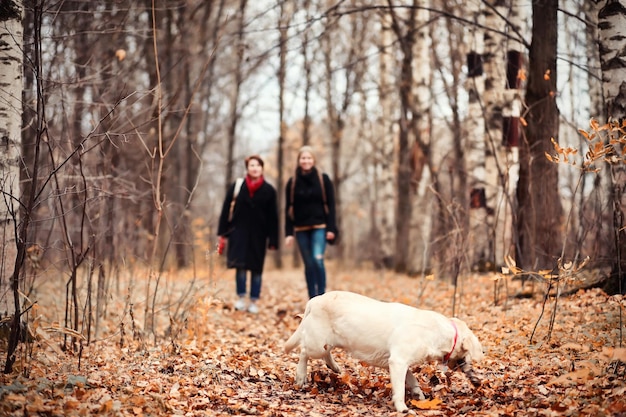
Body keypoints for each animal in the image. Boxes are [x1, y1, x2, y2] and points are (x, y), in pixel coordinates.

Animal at [282, 290, 482, 412]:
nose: (476, 379)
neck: (437, 332)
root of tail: (314, 300)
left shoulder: (397, 362)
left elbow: (412, 379)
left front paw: (419, 396)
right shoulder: (398, 361)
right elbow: (400, 389)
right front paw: (402, 408)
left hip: (326, 342)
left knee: (324, 353)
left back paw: (335, 367)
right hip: (317, 343)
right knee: (303, 352)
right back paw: (301, 376)